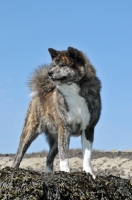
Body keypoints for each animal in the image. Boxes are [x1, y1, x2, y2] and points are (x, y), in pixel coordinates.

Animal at [12, 47, 101, 178]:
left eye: (63, 65)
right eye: (54, 65)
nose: (49, 73)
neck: (73, 91)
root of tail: (40, 92)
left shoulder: (88, 129)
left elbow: (87, 156)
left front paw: (89, 173)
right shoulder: (65, 128)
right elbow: (64, 156)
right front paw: (66, 172)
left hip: (55, 139)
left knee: (49, 158)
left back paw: (49, 174)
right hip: (29, 133)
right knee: (18, 156)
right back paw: (13, 170)